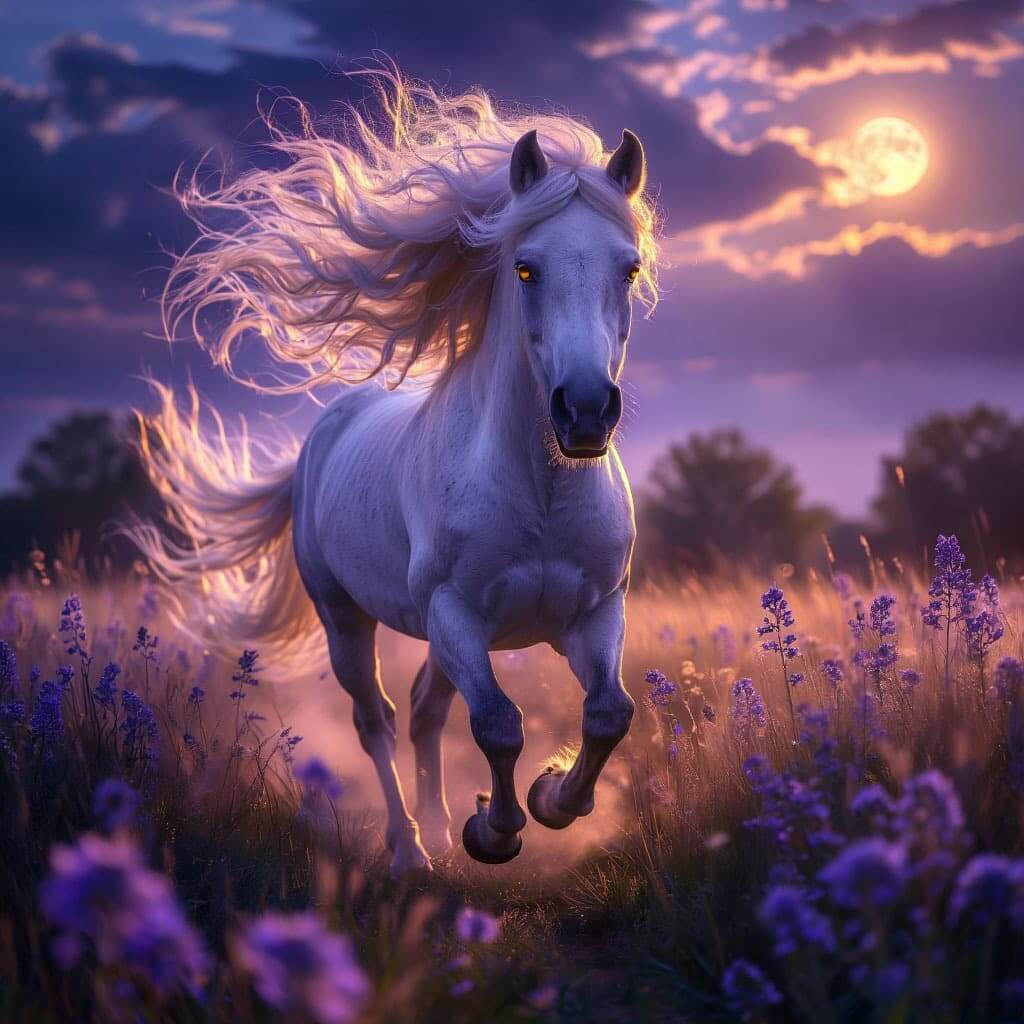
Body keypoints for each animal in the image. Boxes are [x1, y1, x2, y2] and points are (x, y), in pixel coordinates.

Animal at [136, 73, 660, 874]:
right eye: (526, 267)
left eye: (627, 268)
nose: (585, 412)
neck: (541, 490)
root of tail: (327, 428)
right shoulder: (454, 613)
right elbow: (499, 724)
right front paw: (494, 832)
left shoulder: (594, 612)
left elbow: (607, 714)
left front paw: (548, 799)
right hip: (347, 618)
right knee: (377, 719)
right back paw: (411, 848)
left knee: (423, 711)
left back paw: (439, 830)